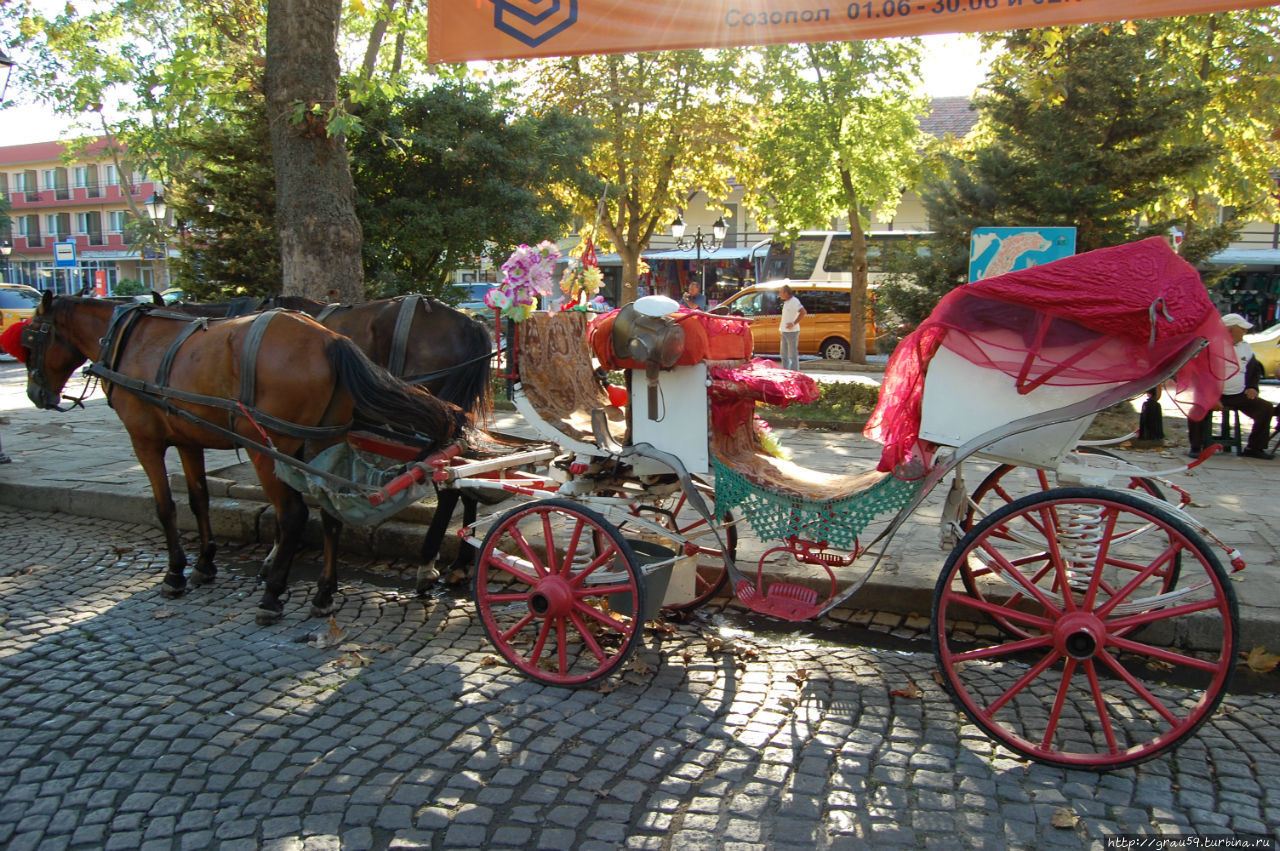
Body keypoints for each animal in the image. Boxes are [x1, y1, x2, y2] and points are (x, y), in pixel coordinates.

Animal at [22, 295, 465, 621]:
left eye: (29, 338)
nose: (36, 394)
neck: (131, 340)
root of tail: (329, 340)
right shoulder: (187, 439)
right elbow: (198, 499)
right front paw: (204, 564)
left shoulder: (145, 440)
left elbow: (165, 507)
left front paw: (175, 573)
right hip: (322, 441)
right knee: (330, 513)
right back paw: (325, 593)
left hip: (266, 446)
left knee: (293, 514)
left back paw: (273, 596)